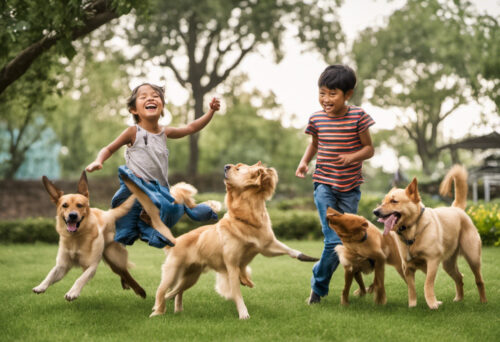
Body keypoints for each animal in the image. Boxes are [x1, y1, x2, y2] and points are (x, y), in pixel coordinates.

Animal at [32, 172, 146, 300]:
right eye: (64, 205)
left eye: (79, 205)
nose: (72, 215)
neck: (75, 237)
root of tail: (107, 213)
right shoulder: (62, 265)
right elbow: (51, 274)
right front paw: (41, 286)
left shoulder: (91, 265)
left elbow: (80, 279)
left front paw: (73, 292)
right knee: (123, 272)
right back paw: (128, 285)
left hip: (114, 256)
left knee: (124, 271)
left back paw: (139, 290)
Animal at [374, 164, 486, 308]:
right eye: (383, 201)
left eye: (394, 201)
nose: (375, 212)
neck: (412, 231)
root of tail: (456, 208)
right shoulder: (407, 267)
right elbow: (411, 288)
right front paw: (412, 305)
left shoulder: (432, 262)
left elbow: (427, 284)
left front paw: (432, 304)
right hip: (448, 264)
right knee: (459, 277)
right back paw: (459, 299)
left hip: (473, 258)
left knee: (479, 280)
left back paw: (483, 301)